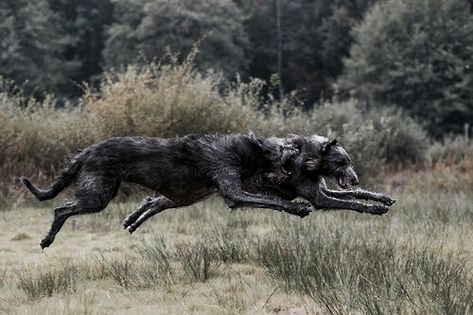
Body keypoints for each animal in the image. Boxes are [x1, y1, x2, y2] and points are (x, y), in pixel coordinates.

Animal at [19, 133, 394, 249]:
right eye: (343, 162)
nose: (354, 178)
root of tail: (87, 151)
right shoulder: (237, 190)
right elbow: (277, 200)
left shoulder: (322, 191)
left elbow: (355, 199)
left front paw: (380, 199)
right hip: (98, 195)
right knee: (61, 209)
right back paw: (48, 238)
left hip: (180, 194)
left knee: (152, 200)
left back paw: (132, 220)